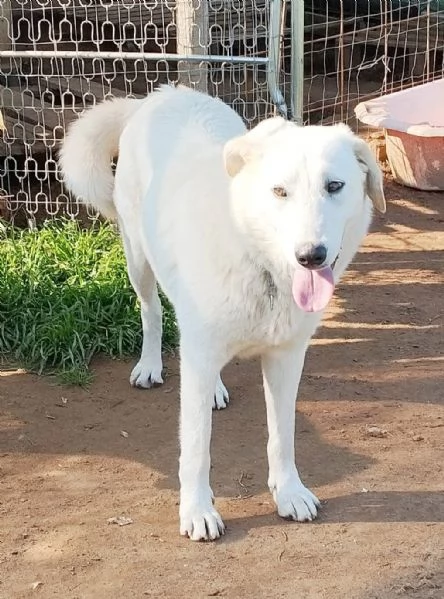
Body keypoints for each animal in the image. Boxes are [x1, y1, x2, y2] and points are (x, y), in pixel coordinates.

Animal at [59, 85, 386, 544]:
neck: (260, 262)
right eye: (279, 191)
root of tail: (161, 94)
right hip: (138, 260)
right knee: (152, 313)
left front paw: (289, 493)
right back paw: (150, 364)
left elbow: (282, 436)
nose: (310, 256)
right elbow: (196, 448)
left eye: (335, 186)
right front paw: (197, 512)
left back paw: (214, 387)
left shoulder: (287, 359)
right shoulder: (198, 355)